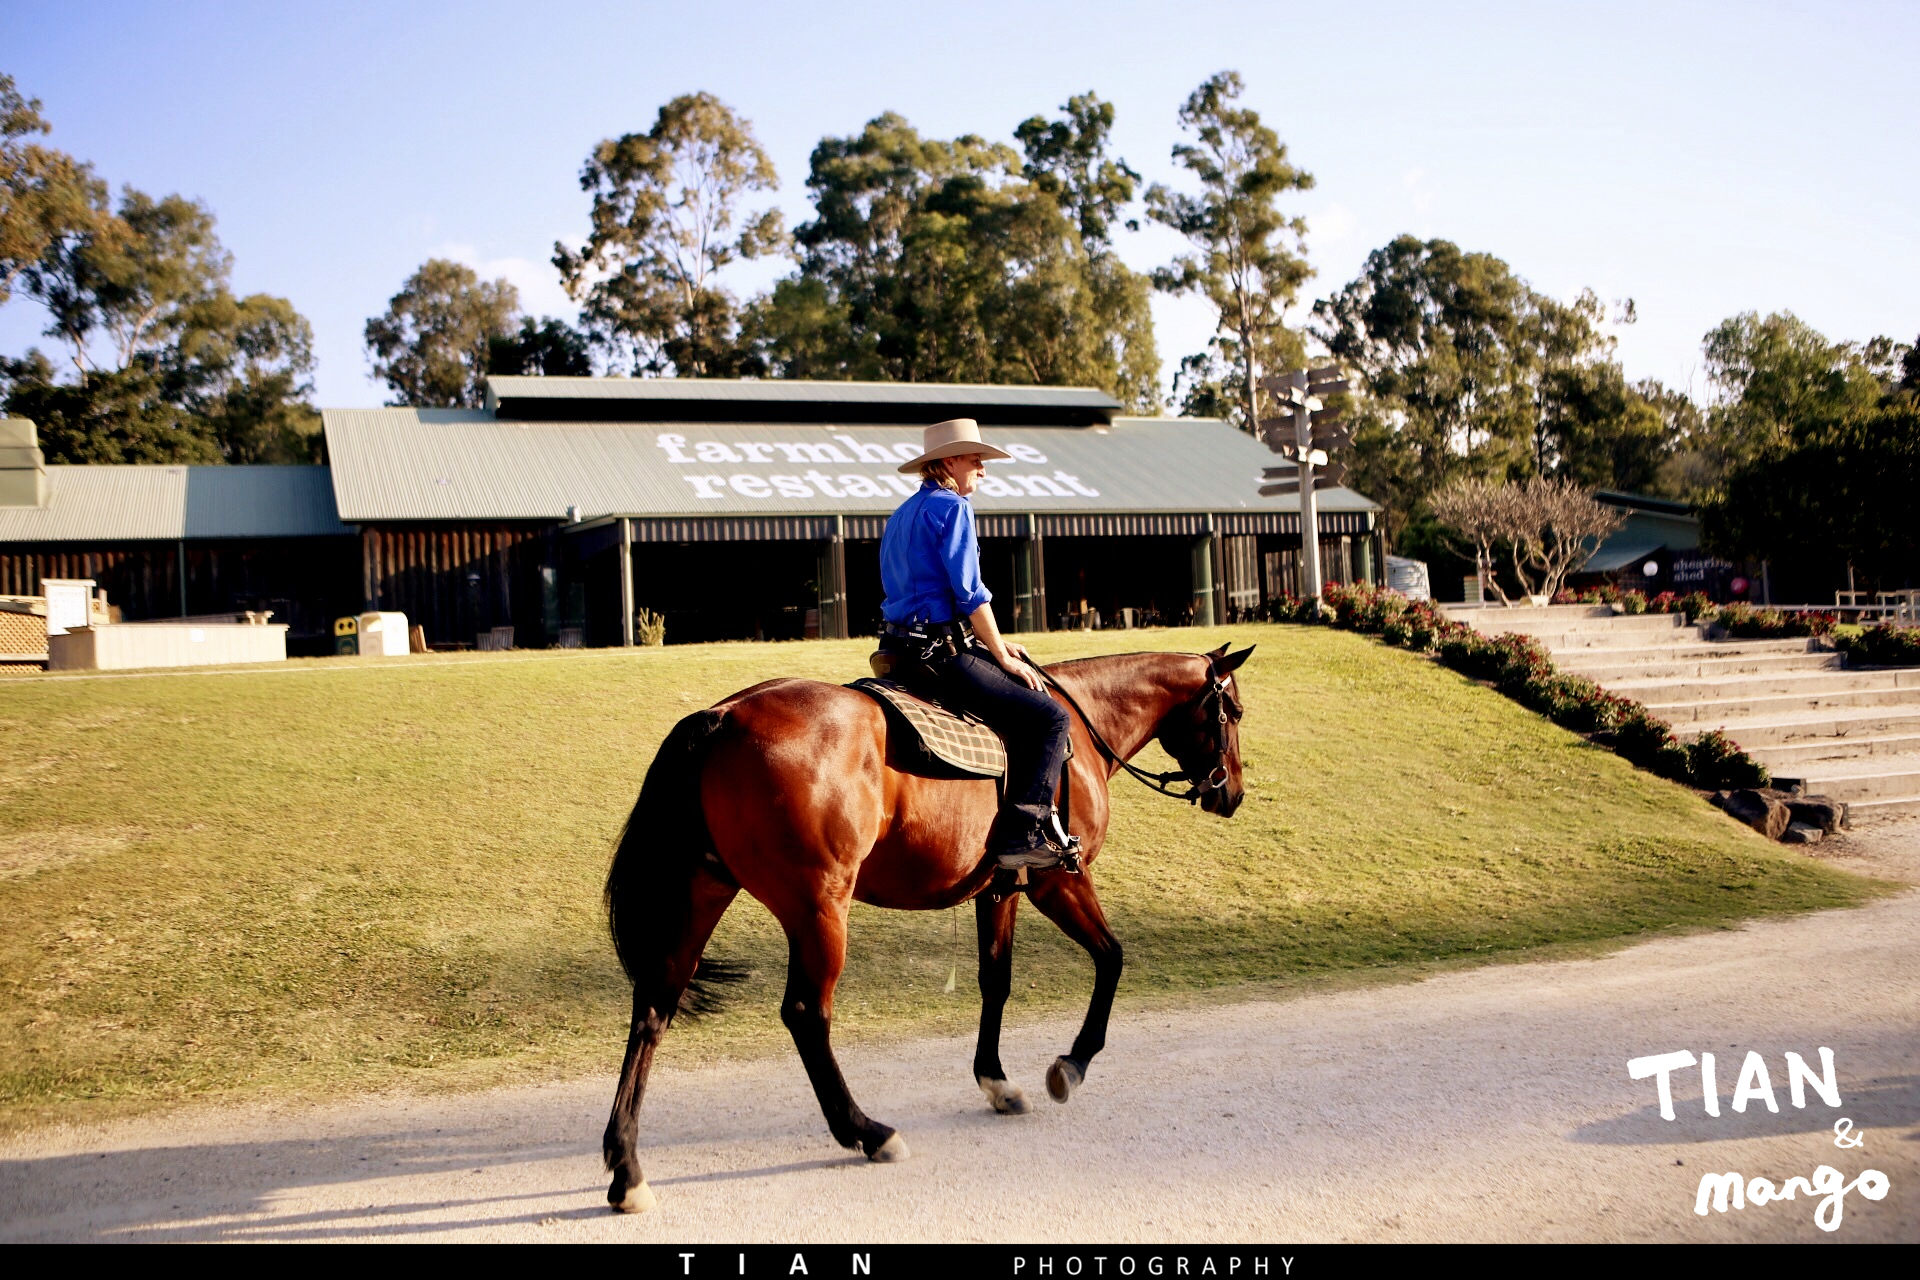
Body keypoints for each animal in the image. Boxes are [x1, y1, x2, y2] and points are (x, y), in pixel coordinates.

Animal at [602, 644, 1259, 1220]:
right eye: (1232, 712)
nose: (1231, 792)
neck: (1080, 722)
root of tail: (724, 716)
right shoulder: (1058, 881)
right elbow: (1112, 958)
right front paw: (1072, 1063)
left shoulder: (1000, 889)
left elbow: (996, 980)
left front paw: (996, 1081)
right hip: (818, 906)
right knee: (805, 1014)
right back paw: (866, 1131)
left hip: (704, 893)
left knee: (654, 1009)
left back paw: (626, 1167)